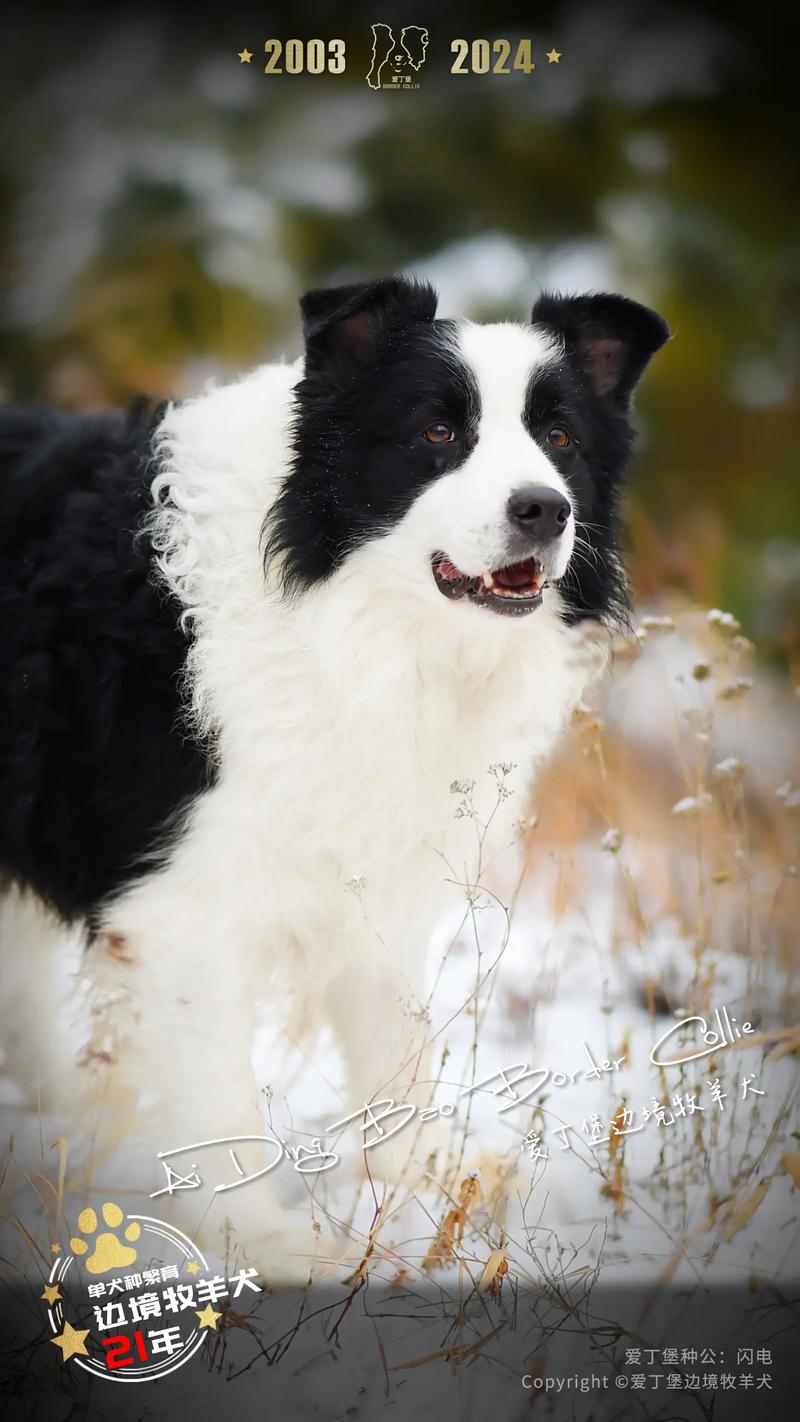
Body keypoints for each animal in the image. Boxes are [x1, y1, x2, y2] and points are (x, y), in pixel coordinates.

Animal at [0, 277, 667, 1268]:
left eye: (560, 438)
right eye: (437, 431)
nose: (544, 509)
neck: (340, 606)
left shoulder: (383, 858)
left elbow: (397, 1042)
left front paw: (431, 1184)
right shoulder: (178, 903)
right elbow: (220, 1095)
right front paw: (260, 1241)